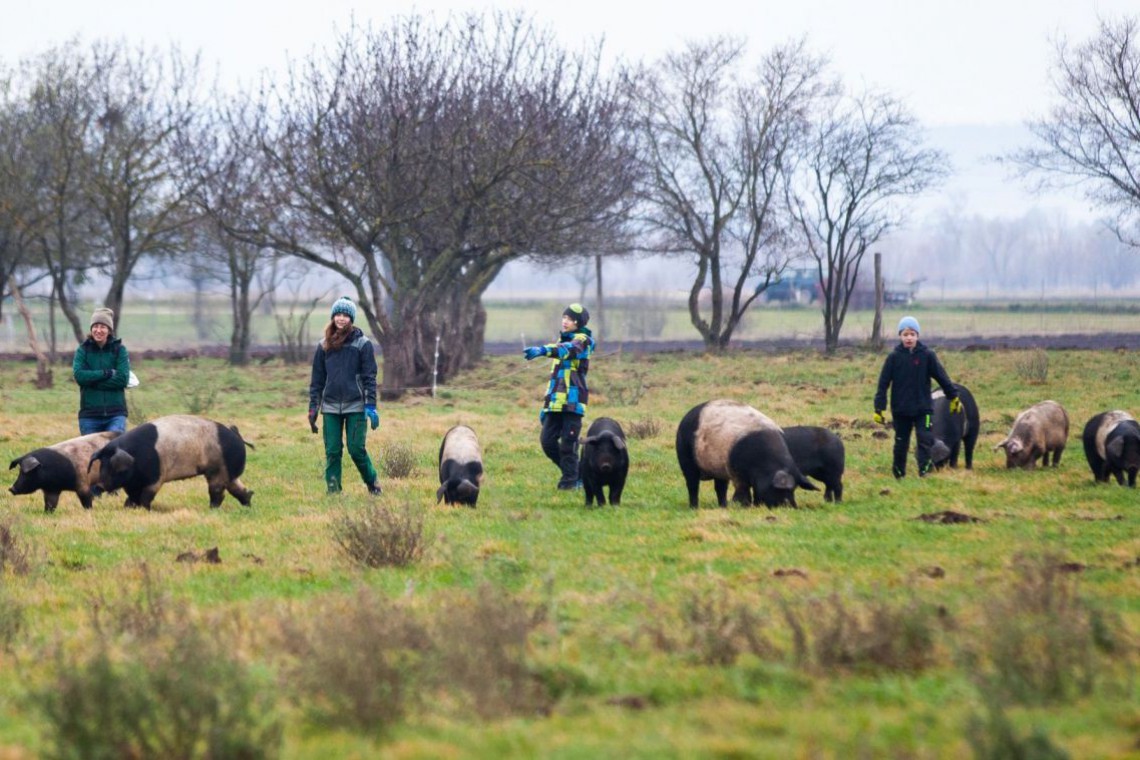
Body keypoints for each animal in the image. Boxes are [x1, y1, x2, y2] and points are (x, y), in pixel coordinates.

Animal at [87, 417, 253, 510]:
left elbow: (146, 497)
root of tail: (237, 436)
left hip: (218, 471)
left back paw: (211, 509)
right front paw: (128, 508)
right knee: (239, 489)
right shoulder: (132, 484)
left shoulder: (156, 478)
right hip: (227, 472)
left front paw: (145, 510)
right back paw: (247, 505)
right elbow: (132, 497)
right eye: (102, 464)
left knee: (218, 493)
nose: (99, 485)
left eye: (113, 466)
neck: (135, 457)